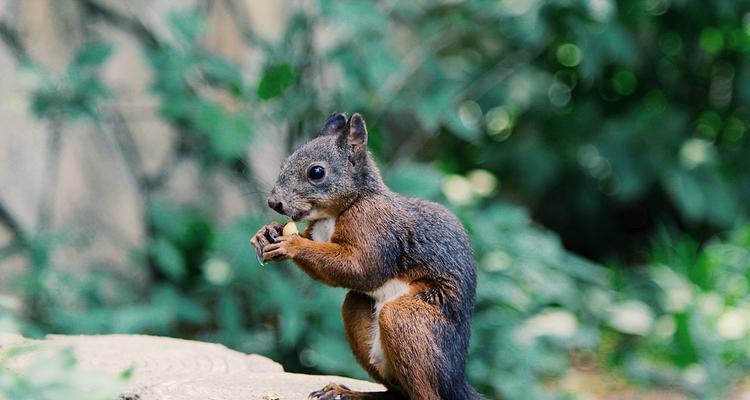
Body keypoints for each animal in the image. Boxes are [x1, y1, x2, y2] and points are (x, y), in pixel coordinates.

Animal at [253, 112, 482, 400]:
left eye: (316, 172)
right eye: (285, 162)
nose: (274, 203)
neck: (337, 212)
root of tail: (456, 379)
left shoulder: (375, 226)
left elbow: (360, 268)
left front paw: (291, 244)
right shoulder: (317, 231)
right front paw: (266, 232)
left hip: (410, 321)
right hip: (360, 314)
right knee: (394, 391)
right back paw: (345, 392)